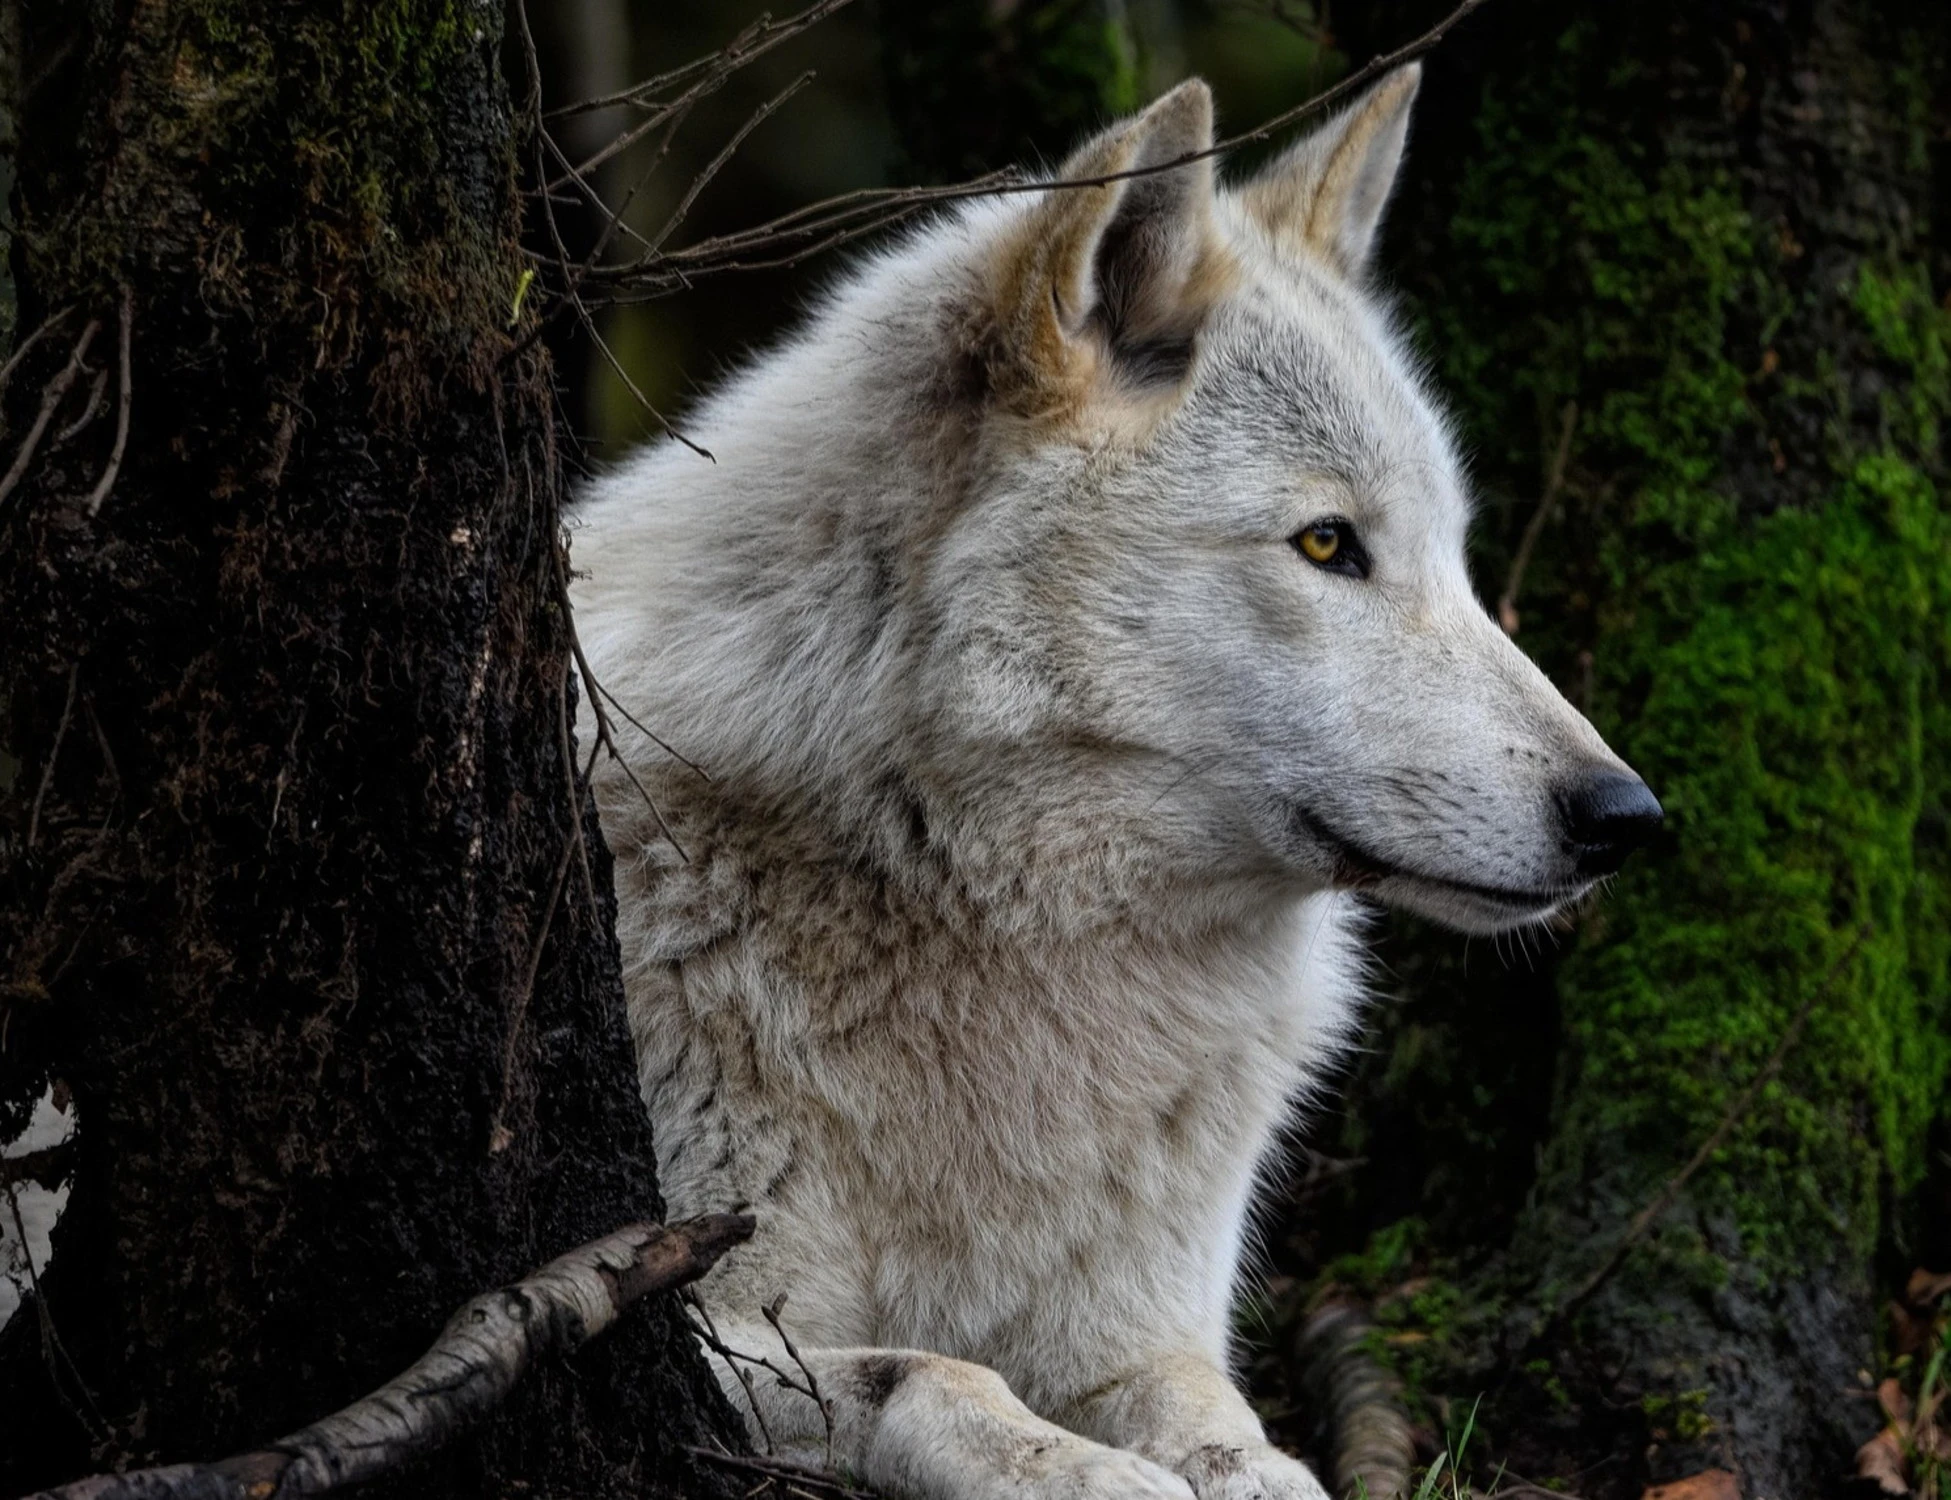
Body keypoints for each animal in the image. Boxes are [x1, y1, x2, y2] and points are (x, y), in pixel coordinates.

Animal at [571, 63, 1661, 1500]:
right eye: (1328, 544)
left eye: (1456, 558)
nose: (1625, 817)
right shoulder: (700, 1316)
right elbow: (939, 1373)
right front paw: (1087, 1475)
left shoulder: (1143, 1329)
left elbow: (1230, 1430)